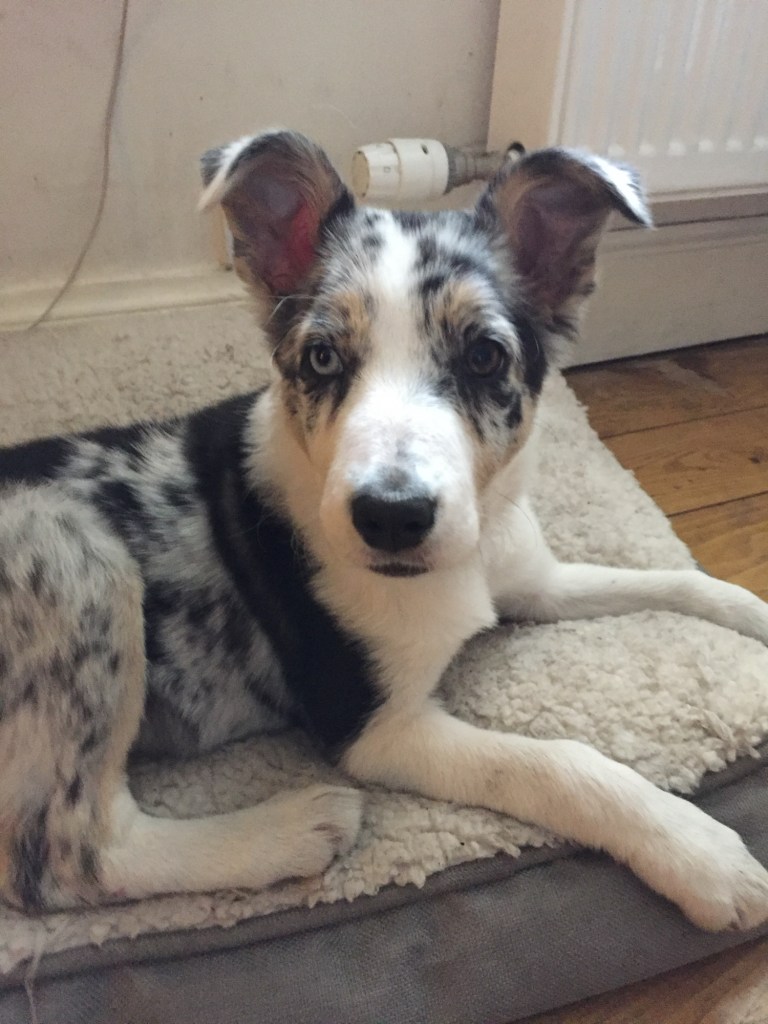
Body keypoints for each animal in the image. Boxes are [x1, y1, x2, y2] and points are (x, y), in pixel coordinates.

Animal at [1, 130, 768, 933]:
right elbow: (552, 762)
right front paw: (699, 853)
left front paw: (753, 616)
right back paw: (292, 830)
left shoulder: (536, 579)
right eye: (322, 357)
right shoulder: (374, 726)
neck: (469, 557)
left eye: (484, 356)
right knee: (65, 856)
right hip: (69, 550)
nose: (391, 516)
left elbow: (676, 578)